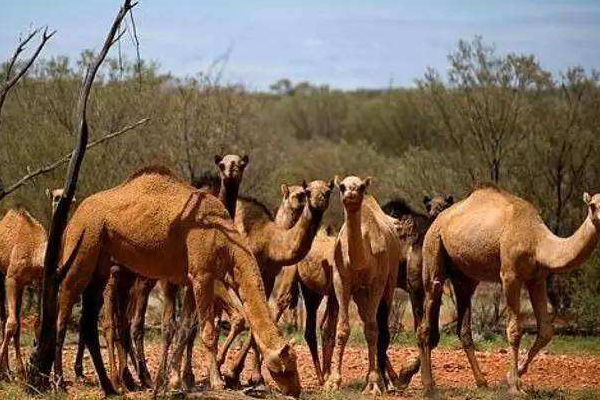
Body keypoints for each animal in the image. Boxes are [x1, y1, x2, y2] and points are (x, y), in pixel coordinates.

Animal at [54, 166, 302, 396]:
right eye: (287, 368)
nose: (296, 390)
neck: (228, 245)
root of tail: (77, 213)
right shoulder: (202, 275)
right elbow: (208, 332)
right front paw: (217, 381)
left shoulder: (191, 279)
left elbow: (184, 329)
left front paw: (173, 382)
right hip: (83, 243)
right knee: (65, 299)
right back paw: (60, 381)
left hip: (103, 261)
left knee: (91, 317)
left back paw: (112, 386)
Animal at [326, 177, 400, 396]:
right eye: (342, 186)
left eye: (360, 187)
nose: (350, 194)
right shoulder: (341, 281)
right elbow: (342, 328)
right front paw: (333, 382)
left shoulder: (377, 283)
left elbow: (372, 329)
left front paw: (373, 384)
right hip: (360, 295)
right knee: (369, 319)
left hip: (389, 284)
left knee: (380, 327)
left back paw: (388, 382)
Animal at [418, 186, 600, 398]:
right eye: (592, 205)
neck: (537, 241)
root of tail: (436, 221)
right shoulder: (510, 276)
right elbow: (514, 330)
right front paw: (514, 386)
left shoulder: (536, 279)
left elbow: (546, 330)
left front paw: (512, 376)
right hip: (433, 248)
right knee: (428, 309)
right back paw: (428, 386)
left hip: (464, 276)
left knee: (463, 328)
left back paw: (482, 382)